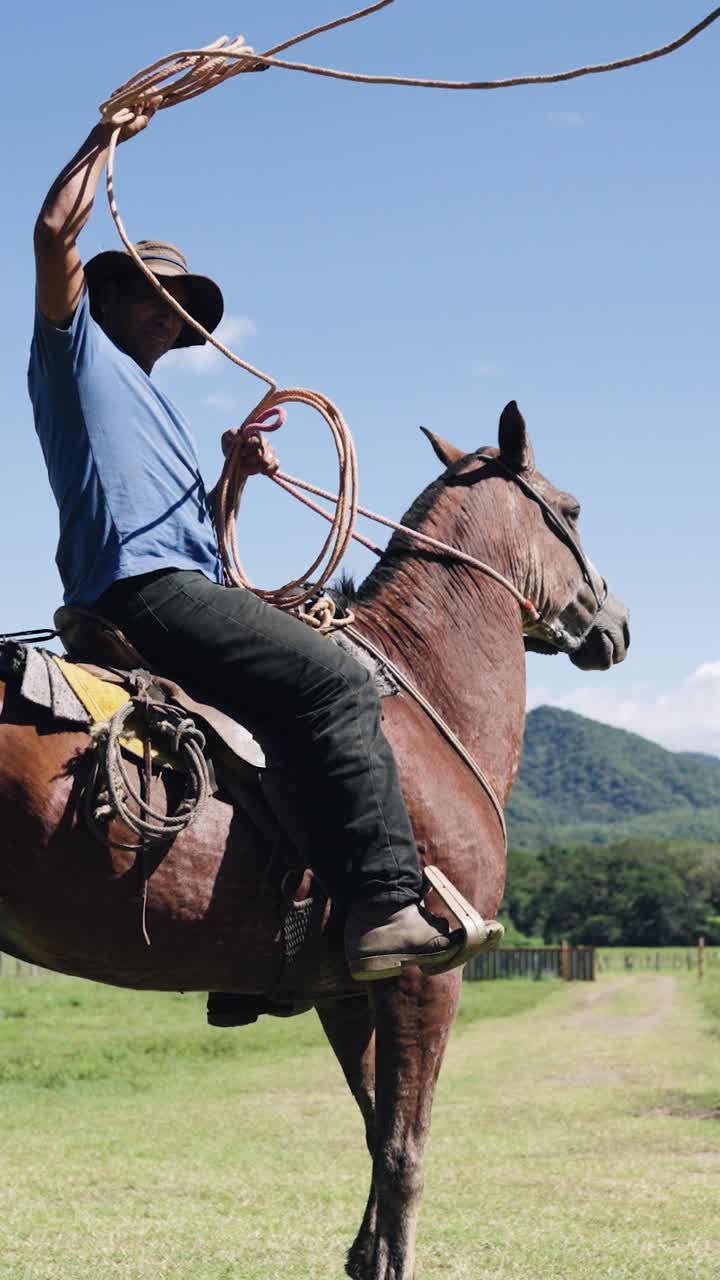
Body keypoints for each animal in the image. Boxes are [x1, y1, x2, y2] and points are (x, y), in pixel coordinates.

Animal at [0, 401, 629, 1279]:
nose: (616, 622)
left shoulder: (347, 988)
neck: (421, 692)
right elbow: (404, 1150)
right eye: (571, 510)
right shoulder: (423, 976)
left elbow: (373, 1132)